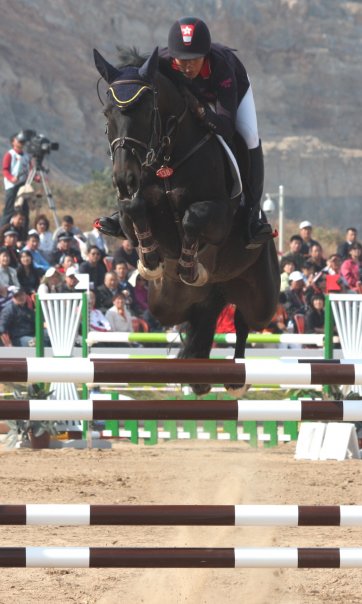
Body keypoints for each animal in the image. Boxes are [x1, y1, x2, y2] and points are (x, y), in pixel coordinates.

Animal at [93, 48, 280, 396]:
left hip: (263, 296)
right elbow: (133, 207)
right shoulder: (130, 212)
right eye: (107, 113)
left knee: (246, 319)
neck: (169, 155)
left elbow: (193, 218)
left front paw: (189, 266)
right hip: (166, 304)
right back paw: (200, 377)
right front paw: (151, 258)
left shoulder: (219, 217)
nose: (124, 179)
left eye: (146, 111)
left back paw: (236, 380)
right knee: (201, 318)